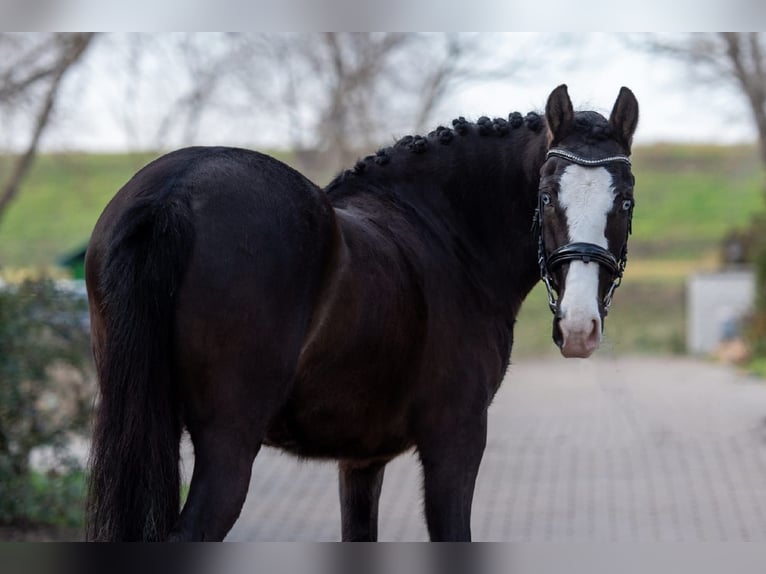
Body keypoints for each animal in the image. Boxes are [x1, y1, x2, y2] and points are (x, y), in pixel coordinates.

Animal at [84, 83, 640, 544]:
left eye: (626, 202)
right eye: (546, 197)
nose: (578, 327)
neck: (447, 233)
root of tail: (176, 189)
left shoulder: (361, 461)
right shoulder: (456, 440)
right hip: (228, 443)